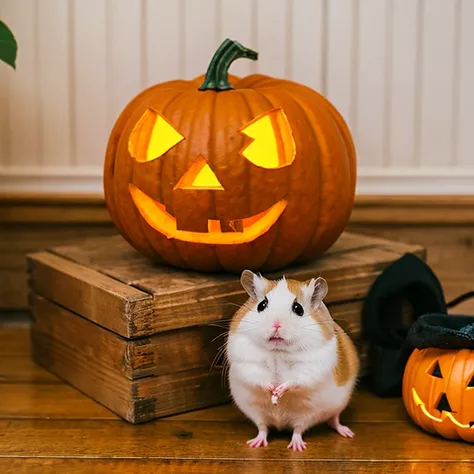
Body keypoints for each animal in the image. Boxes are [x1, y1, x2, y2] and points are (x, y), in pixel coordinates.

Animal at [226, 270, 360, 452]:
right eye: (262, 305)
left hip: (311, 413)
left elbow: (296, 380)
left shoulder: (312, 367)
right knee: (263, 428)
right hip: (256, 412)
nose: (276, 325)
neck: (278, 351)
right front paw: (272, 392)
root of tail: (281, 424)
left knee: (305, 427)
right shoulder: (245, 361)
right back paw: (255, 444)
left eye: (298, 308)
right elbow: (257, 377)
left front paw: (278, 393)